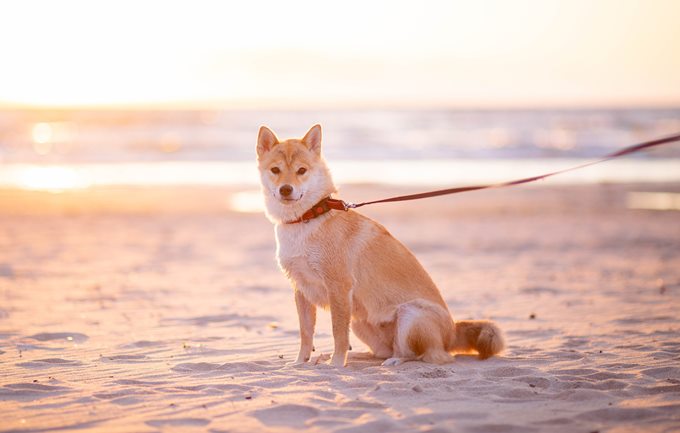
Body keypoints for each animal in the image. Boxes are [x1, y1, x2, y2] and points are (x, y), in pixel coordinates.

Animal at [258, 123, 502, 366]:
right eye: (275, 170)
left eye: (302, 170)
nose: (286, 189)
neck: (308, 217)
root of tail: (452, 331)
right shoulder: (301, 289)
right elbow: (306, 332)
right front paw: (301, 362)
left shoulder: (338, 287)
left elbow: (338, 332)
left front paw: (336, 364)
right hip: (359, 320)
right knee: (383, 350)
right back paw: (354, 356)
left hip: (410, 315)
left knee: (427, 355)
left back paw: (395, 361)